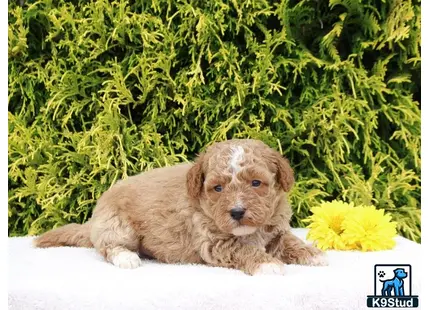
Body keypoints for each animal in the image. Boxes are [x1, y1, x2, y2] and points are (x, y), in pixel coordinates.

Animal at [34, 139, 330, 274]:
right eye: (218, 188)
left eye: (256, 183)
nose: (236, 212)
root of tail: (94, 220)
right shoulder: (214, 242)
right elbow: (243, 249)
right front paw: (267, 264)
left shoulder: (275, 230)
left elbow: (288, 241)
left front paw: (312, 254)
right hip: (116, 226)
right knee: (108, 247)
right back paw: (127, 258)